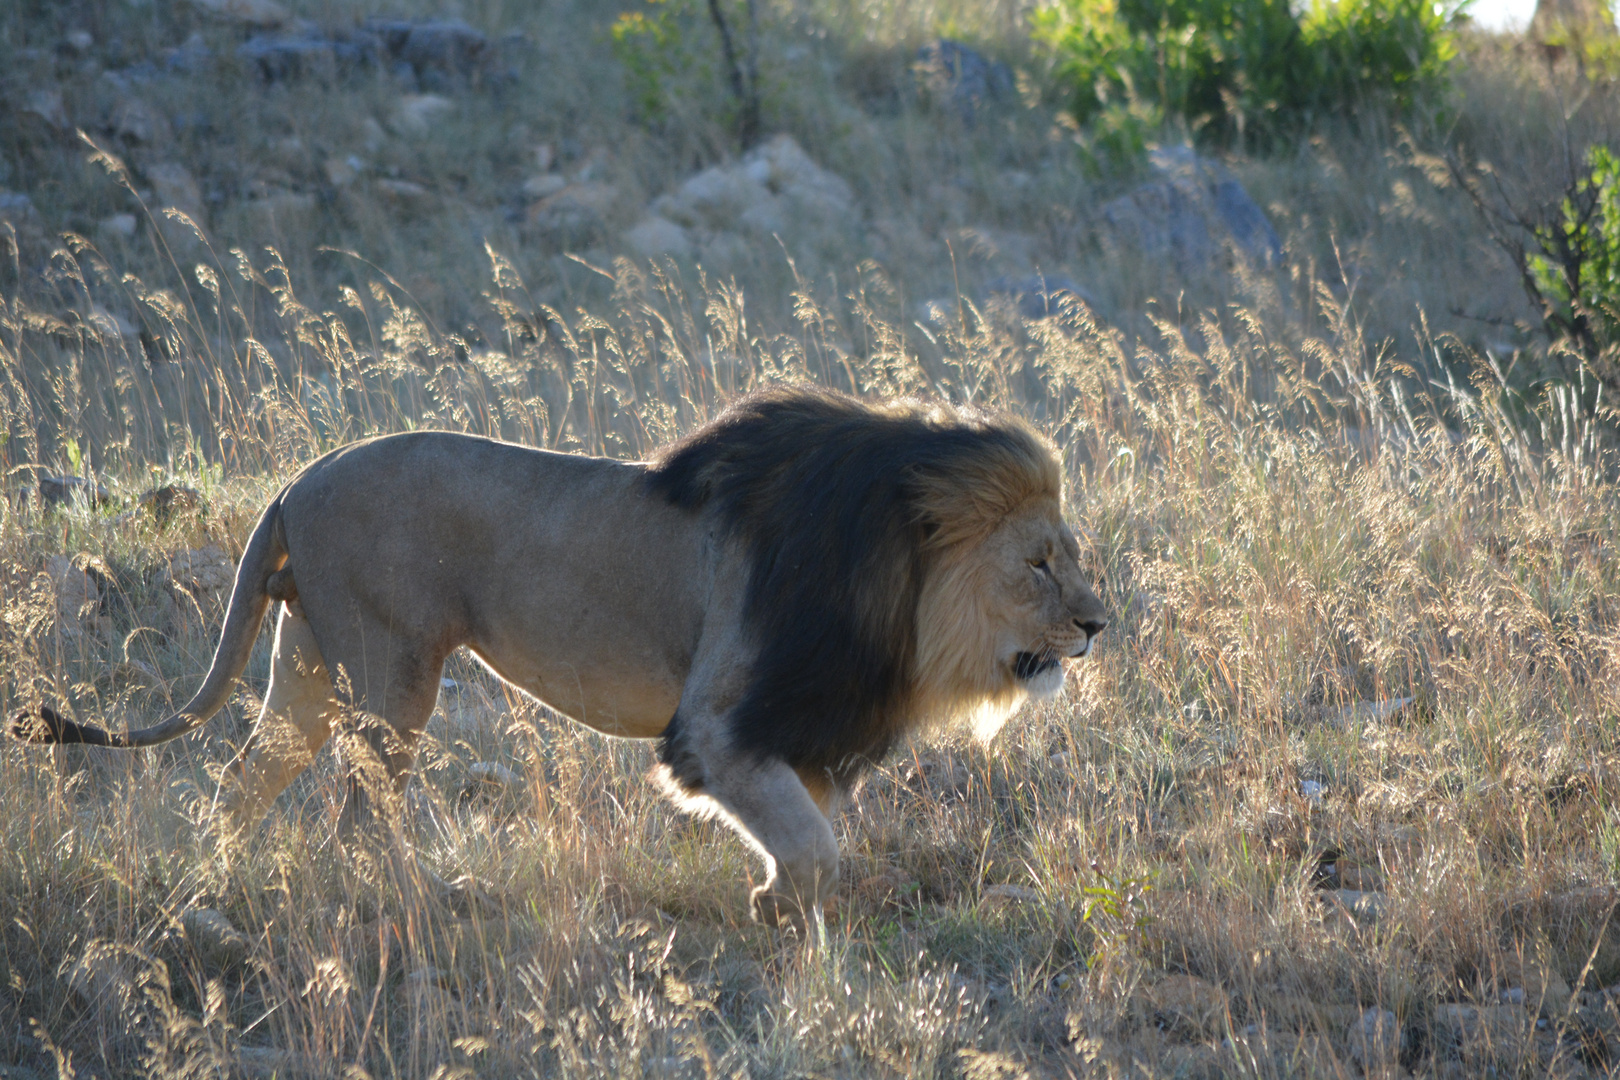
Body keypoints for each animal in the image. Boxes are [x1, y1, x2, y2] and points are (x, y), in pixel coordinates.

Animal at [9, 383, 1101, 926]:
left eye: (1070, 554)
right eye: (1040, 563)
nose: (1098, 626)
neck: (903, 587)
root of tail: (297, 478)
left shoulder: (801, 728)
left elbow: (808, 829)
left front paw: (783, 901)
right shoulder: (719, 722)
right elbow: (809, 842)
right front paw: (774, 904)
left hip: (310, 660)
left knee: (245, 777)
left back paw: (222, 882)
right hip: (393, 667)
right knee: (359, 809)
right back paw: (406, 896)